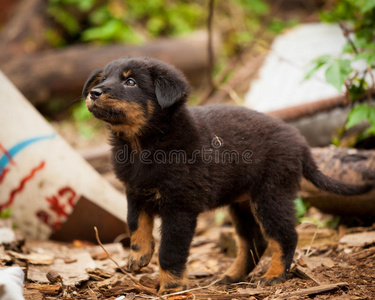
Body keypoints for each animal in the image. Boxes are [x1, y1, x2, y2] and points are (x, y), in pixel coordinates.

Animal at [83, 56, 374, 296]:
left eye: (130, 82)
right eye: (104, 78)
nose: (94, 92)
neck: (142, 145)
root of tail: (301, 143)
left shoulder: (180, 208)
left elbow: (170, 251)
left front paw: (171, 287)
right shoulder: (135, 192)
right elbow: (135, 224)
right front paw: (139, 257)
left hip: (271, 195)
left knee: (285, 236)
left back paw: (273, 275)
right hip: (242, 203)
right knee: (254, 241)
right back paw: (231, 276)